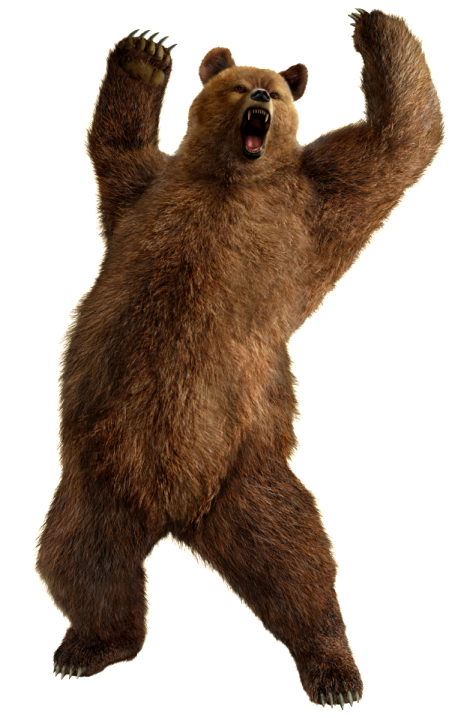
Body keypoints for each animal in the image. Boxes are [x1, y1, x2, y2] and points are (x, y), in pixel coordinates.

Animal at [32, 8, 447, 708]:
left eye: (274, 91)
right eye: (235, 86)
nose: (258, 99)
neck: (231, 178)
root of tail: (174, 512)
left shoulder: (308, 206)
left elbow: (394, 145)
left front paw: (374, 26)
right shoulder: (147, 196)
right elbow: (116, 153)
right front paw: (147, 55)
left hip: (244, 471)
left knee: (298, 557)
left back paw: (333, 668)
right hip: (95, 481)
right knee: (80, 560)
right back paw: (89, 646)